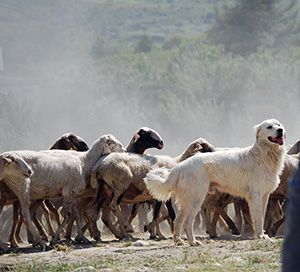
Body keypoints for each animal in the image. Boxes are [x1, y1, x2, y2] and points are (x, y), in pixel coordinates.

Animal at [145, 119, 286, 246]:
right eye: (269, 127)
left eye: (278, 125)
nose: (280, 130)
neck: (263, 155)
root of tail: (180, 165)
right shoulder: (255, 196)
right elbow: (258, 219)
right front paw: (260, 236)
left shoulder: (265, 196)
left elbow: (261, 218)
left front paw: (263, 235)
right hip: (196, 199)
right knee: (187, 222)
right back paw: (193, 242)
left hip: (188, 201)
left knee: (178, 220)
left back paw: (179, 241)